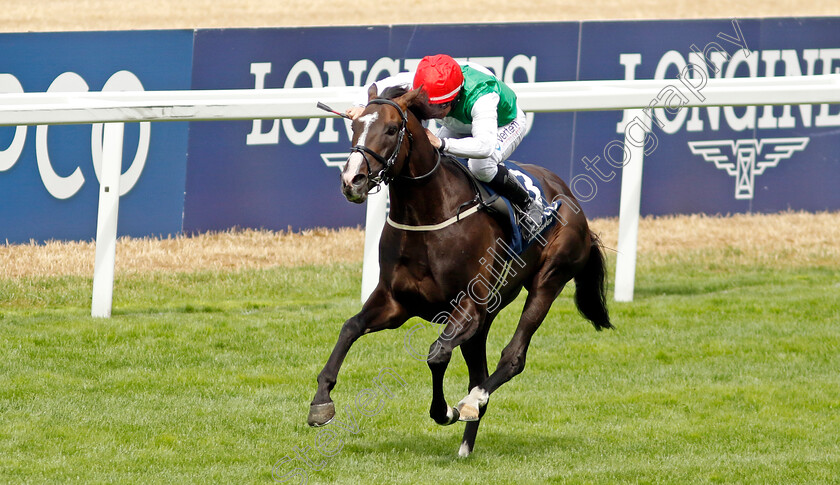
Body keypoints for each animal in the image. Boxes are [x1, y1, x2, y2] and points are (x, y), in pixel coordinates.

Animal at [306, 84, 612, 458]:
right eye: (354, 125)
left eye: (391, 129)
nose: (353, 179)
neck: (427, 215)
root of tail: (567, 195)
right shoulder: (396, 302)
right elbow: (350, 328)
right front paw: (321, 402)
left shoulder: (468, 304)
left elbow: (437, 355)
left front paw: (446, 410)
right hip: (487, 315)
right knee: (479, 371)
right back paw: (466, 443)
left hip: (547, 280)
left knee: (512, 358)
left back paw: (471, 402)